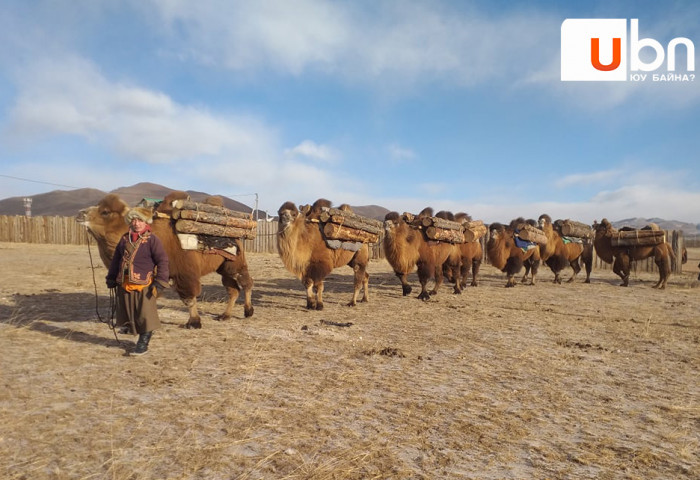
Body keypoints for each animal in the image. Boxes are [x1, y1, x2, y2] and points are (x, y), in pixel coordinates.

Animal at [79, 193, 254, 328]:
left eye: (105, 212)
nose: (81, 213)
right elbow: (150, 294)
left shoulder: (185, 272)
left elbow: (189, 298)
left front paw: (194, 322)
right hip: (223, 267)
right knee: (233, 289)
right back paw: (225, 315)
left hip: (235, 263)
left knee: (245, 283)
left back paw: (248, 311)